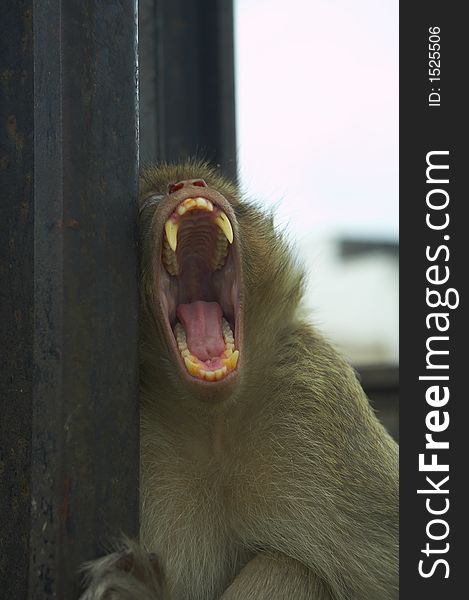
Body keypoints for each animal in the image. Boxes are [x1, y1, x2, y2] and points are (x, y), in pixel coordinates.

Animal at [78, 161, 396, 600]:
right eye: (152, 200)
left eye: (209, 186)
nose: (187, 185)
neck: (215, 424)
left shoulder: (324, 400)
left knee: (285, 568)